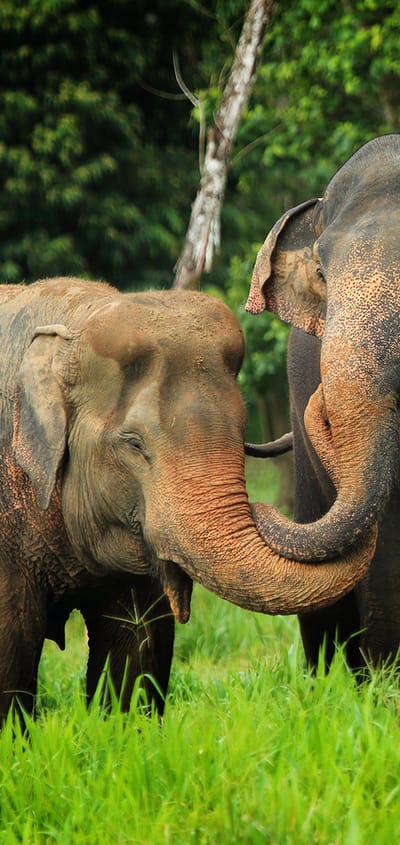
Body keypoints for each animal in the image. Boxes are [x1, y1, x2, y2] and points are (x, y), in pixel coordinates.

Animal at [0, 276, 375, 722]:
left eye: (242, 430)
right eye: (134, 443)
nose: (264, 508)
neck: (74, 317)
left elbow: (137, 653)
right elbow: (11, 651)